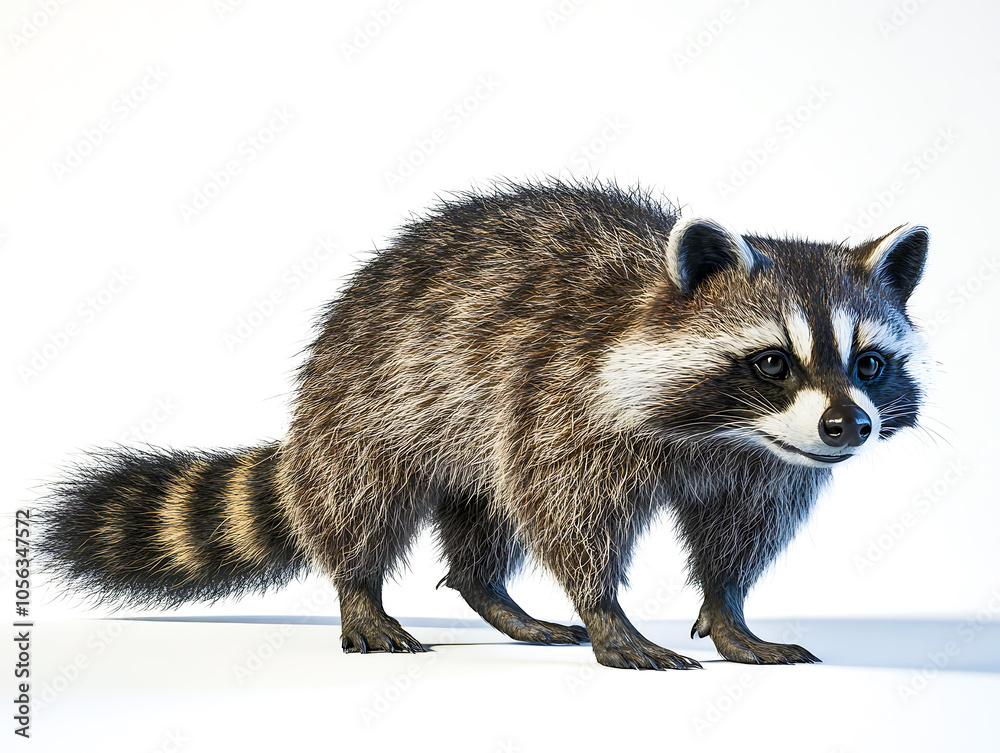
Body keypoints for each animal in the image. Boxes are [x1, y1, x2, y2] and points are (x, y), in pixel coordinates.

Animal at [37, 180, 929, 670]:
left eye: (869, 362)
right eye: (774, 360)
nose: (848, 426)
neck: (721, 432)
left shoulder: (764, 463)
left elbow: (739, 533)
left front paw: (731, 609)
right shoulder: (565, 400)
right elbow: (568, 513)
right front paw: (608, 609)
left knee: (481, 518)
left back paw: (495, 597)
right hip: (376, 399)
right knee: (362, 498)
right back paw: (360, 590)